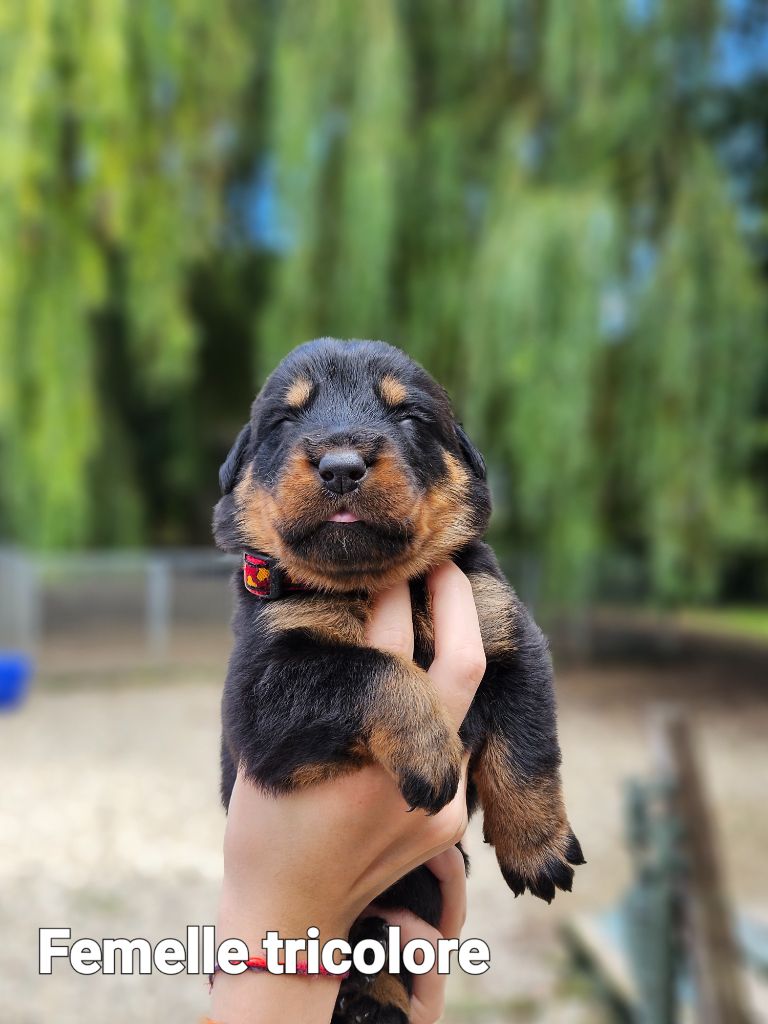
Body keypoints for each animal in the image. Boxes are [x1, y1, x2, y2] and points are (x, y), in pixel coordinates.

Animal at [214, 338, 583, 1023]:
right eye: (284, 420)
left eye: (407, 415)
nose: (340, 466)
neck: (385, 585)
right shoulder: (260, 692)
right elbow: (369, 668)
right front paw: (430, 748)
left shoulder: (506, 630)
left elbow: (528, 747)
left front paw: (539, 847)